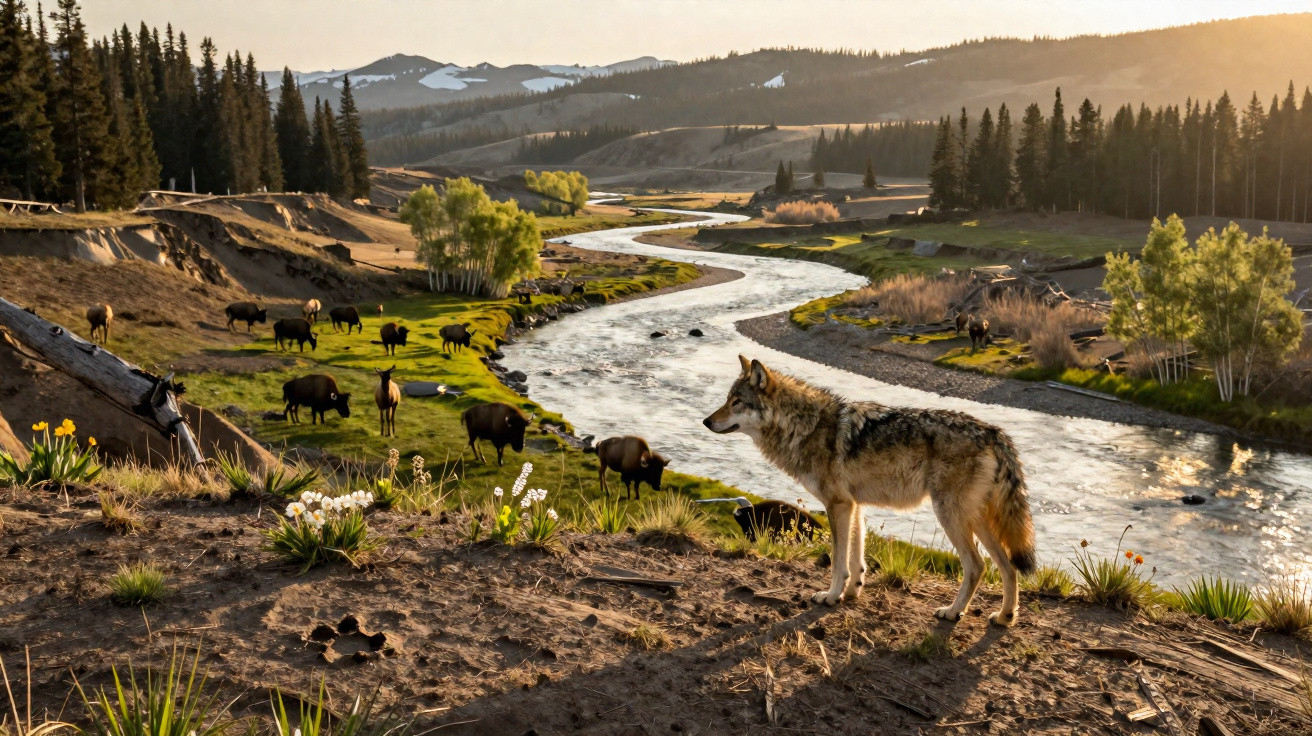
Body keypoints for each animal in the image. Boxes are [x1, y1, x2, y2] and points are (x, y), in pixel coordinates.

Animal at [703, 356, 1036, 626]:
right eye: (727, 399)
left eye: (737, 402)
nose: (706, 421)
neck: (804, 426)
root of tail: (995, 433)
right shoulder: (854, 505)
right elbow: (856, 558)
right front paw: (851, 593)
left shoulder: (837, 504)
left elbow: (838, 560)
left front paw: (830, 596)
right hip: (977, 520)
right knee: (1008, 568)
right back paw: (1005, 617)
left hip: (950, 516)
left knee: (977, 566)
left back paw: (954, 612)